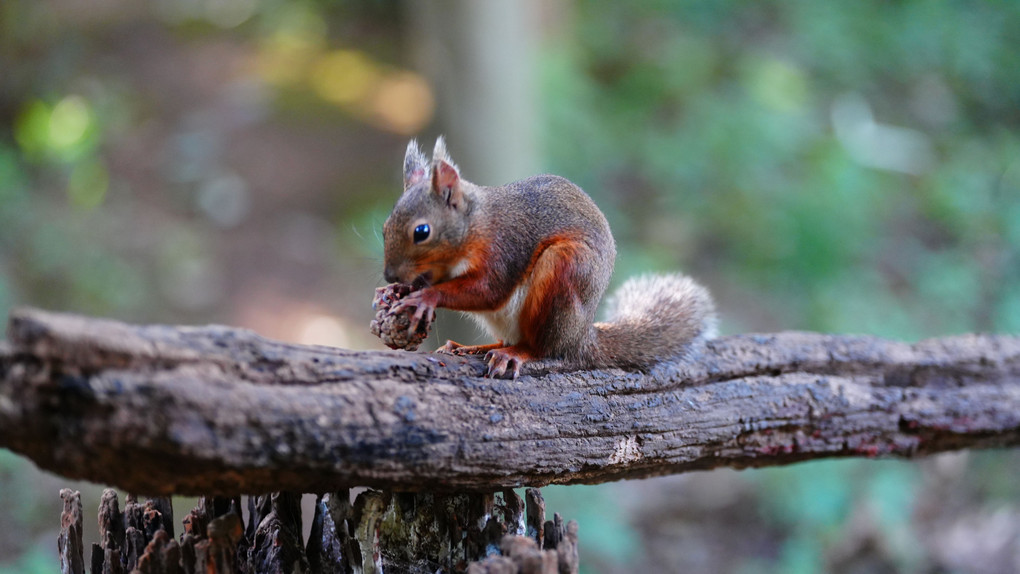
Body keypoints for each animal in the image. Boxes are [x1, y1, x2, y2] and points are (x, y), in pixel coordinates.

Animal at [383, 136, 718, 379]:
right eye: (386, 226)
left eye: (422, 231)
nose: (389, 275)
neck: (475, 226)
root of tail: (581, 339)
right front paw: (399, 290)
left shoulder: (504, 248)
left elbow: (489, 290)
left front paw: (425, 297)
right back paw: (471, 348)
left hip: (562, 272)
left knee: (547, 351)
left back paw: (516, 354)